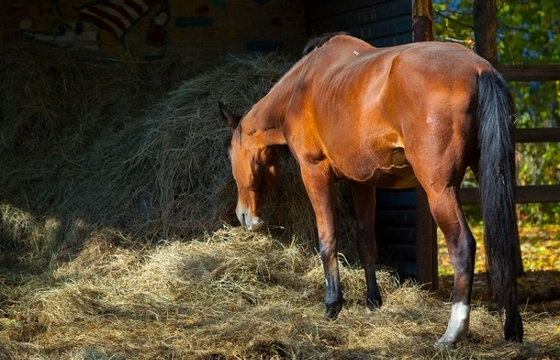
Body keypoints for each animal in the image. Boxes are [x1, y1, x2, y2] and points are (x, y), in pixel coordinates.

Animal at [218, 33, 520, 346]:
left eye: (230, 154)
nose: (243, 216)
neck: (302, 87)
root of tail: (479, 69)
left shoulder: (314, 173)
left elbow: (328, 241)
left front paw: (332, 305)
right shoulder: (361, 184)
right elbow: (366, 242)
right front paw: (372, 302)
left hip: (440, 190)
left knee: (462, 245)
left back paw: (452, 332)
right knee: (507, 242)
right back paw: (512, 328)